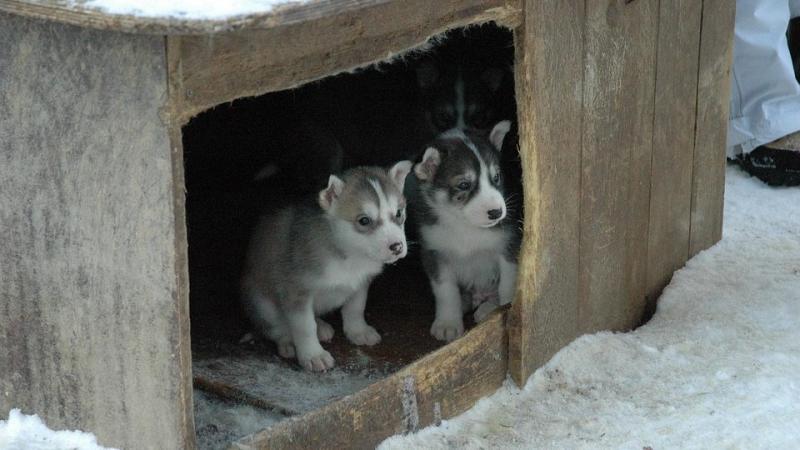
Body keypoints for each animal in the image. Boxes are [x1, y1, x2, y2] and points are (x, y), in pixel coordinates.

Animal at [241, 160, 412, 370]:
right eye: (364, 220)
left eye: (399, 213)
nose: (397, 247)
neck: (349, 255)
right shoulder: (296, 290)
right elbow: (305, 326)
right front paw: (313, 355)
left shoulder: (361, 283)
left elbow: (355, 308)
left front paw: (358, 331)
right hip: (261, 302)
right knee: (274, 327)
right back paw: (288, 341)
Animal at [412, 119, 520, 342]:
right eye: (463, 184)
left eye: (496, 177)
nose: (497, 212)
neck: (465, 225)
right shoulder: (434, 253)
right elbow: (446, 291)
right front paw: (447, 323)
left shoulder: (509, 247)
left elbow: (508, 283)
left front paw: (506, 308)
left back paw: (488, 308)